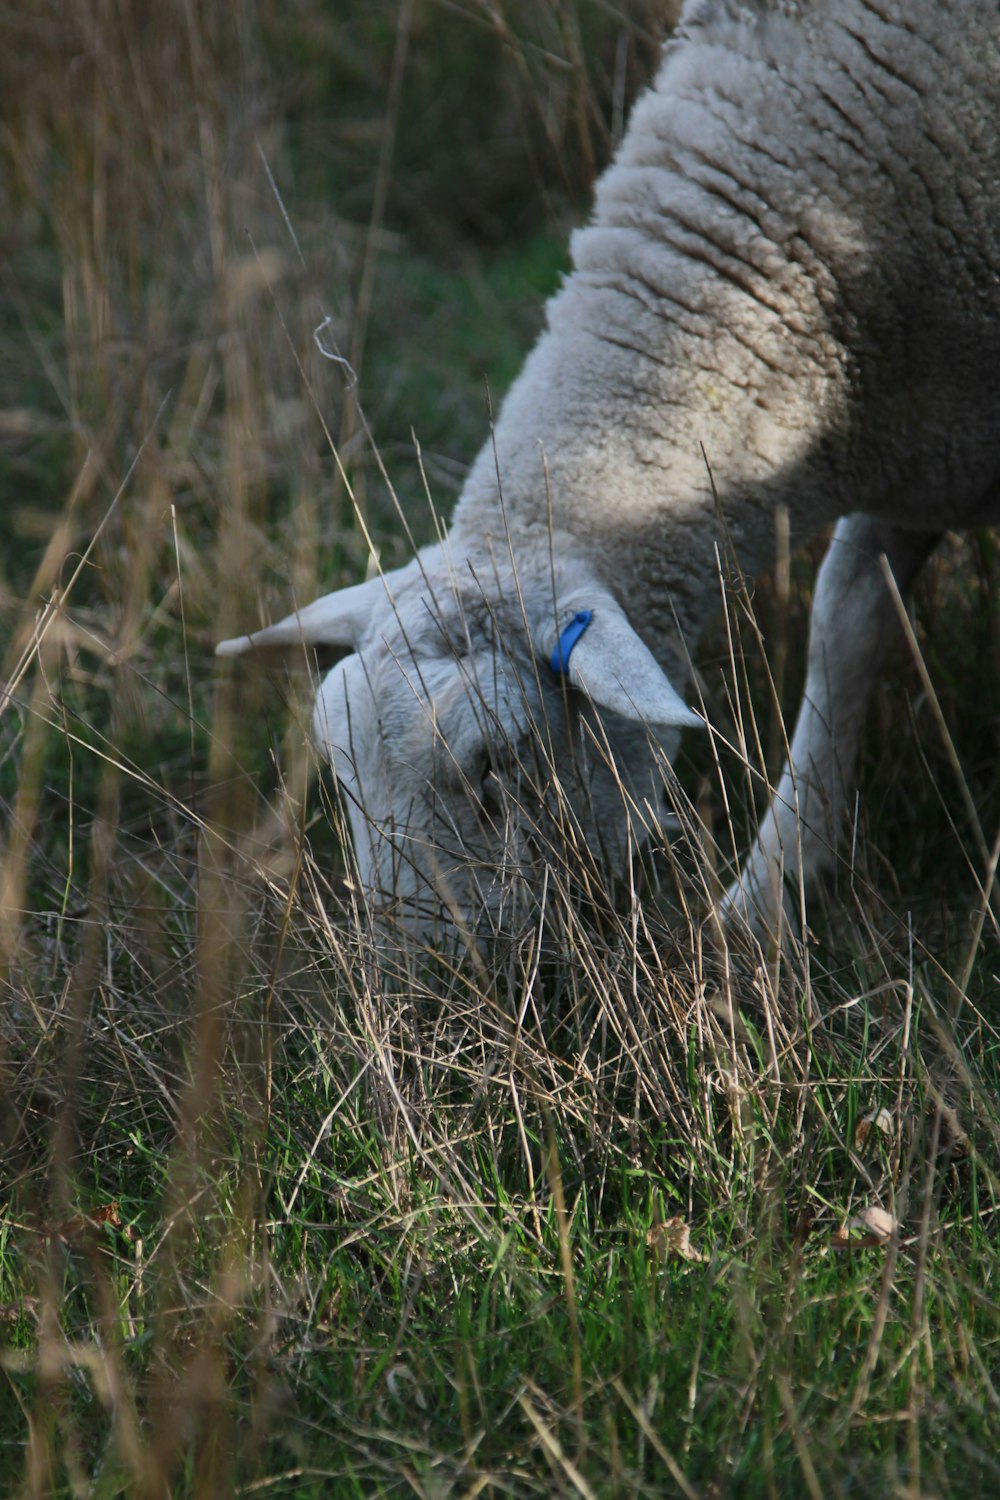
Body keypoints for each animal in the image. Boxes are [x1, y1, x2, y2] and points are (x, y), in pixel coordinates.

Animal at [217, 0, 1000, 936]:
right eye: (338, 765)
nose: (423, 975)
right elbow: (845, 623)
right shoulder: (922, 449)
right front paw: (774, 889)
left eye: (499, 763)